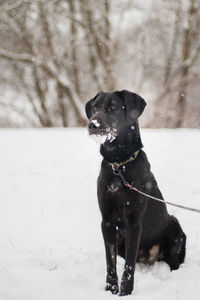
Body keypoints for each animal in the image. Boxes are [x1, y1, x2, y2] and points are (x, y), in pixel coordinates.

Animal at [85, 90, 186, 296]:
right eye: (95, 108)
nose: (92, 124)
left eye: (112, 107)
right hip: (120, 238)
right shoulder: (107, 221)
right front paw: (110, 289)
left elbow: (129, 265)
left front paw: (125, 292)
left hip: (175, 226)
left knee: (173, 262)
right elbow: (110, 261)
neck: (119, 165)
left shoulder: (134, 221)